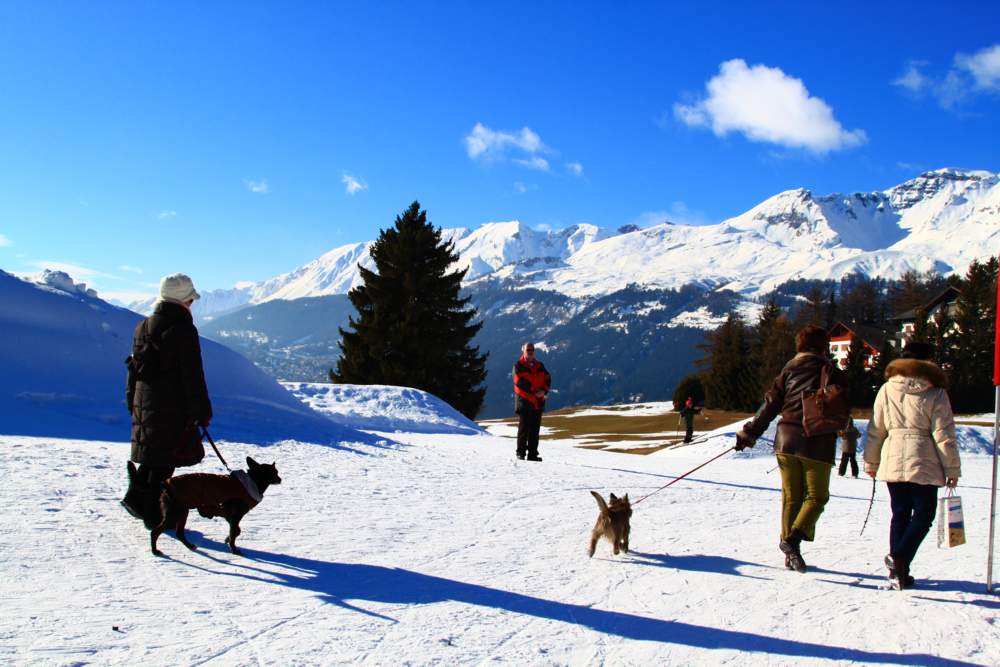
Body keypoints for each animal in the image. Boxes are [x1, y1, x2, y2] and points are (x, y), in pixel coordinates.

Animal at [149, 456, 282, 556]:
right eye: (274, 473)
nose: (280, 479)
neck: (252, 482)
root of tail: (166, 484)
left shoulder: (229, 516)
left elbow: (236, 530)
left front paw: (228, 539)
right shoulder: (235, 516)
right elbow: (234, 531)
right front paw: (234, 549)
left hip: (182, 512)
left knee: (179, 533)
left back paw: (190, 546)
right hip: (175, 513)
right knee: (155, 532)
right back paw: (155, 551)